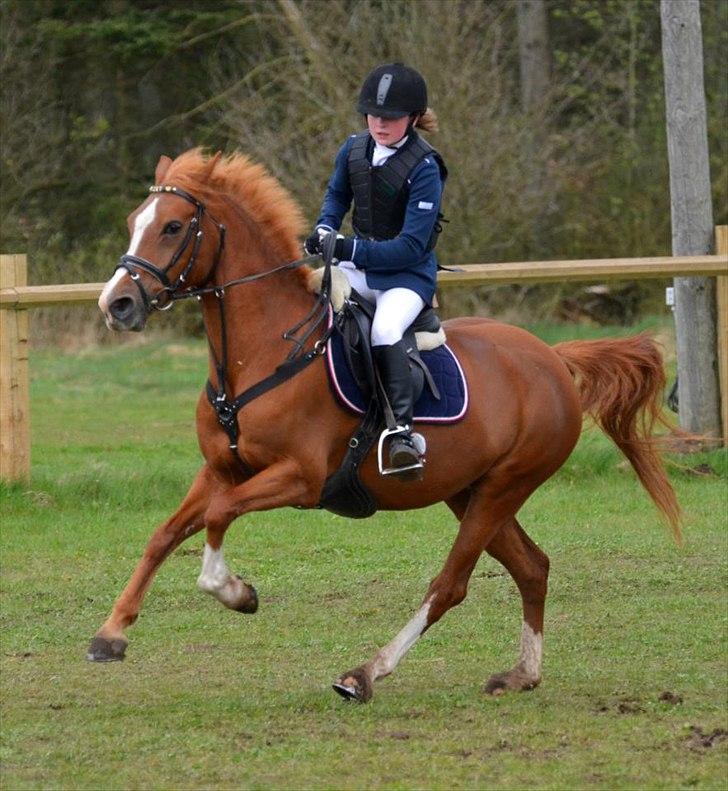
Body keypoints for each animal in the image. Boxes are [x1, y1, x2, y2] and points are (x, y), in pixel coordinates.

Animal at [92, 148, 681, 703]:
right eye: (134, 221)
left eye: (172, 227)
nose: (115, 304)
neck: (260, 355)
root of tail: (554, 359)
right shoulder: (221, 469)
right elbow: (165, 534)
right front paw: (111, 634)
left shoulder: (299, 478)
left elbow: (218, 516)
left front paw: (236, 592)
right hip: (470, 491)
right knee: (532, 566)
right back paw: (522, 674)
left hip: (505, 486)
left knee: (451, 584)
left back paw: (365, 673)